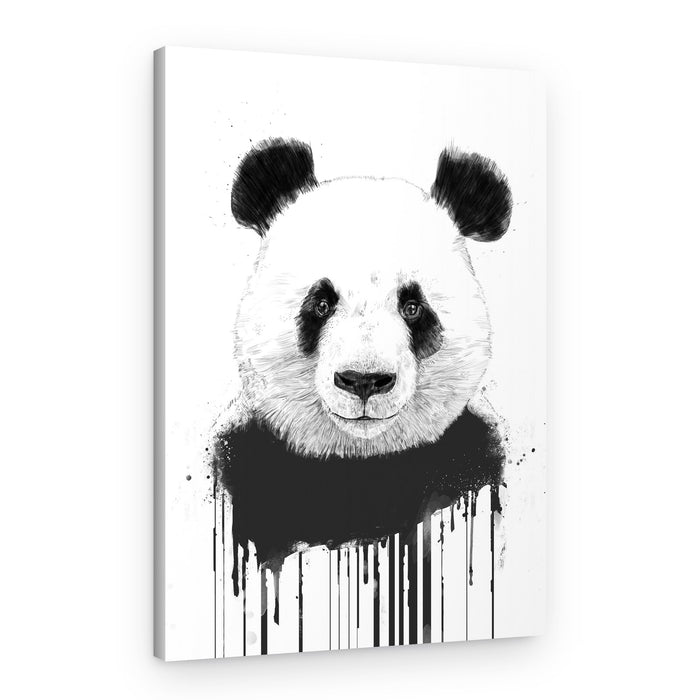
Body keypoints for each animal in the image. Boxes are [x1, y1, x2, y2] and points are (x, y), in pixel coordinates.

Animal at [212, 138, 512, 572]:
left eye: (412, 307)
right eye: (321, 304)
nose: (364, 380)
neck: (361, 460)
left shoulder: (470, 455)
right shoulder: (248, 459)